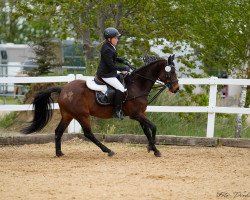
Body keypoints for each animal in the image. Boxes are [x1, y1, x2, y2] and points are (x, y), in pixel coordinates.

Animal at [21, 55, 178, 158]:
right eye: (171, 72)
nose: (176, 89)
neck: (137, 84)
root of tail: (63, 89)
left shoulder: (140, 114)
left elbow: (147, 131)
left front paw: (153, 149)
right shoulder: (136, 114)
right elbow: (153, 127)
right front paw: (152, 147)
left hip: (68, 115)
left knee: (58, 131)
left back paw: (59, 153)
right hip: (82, 115)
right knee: (88, 134)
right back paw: (108, 151)